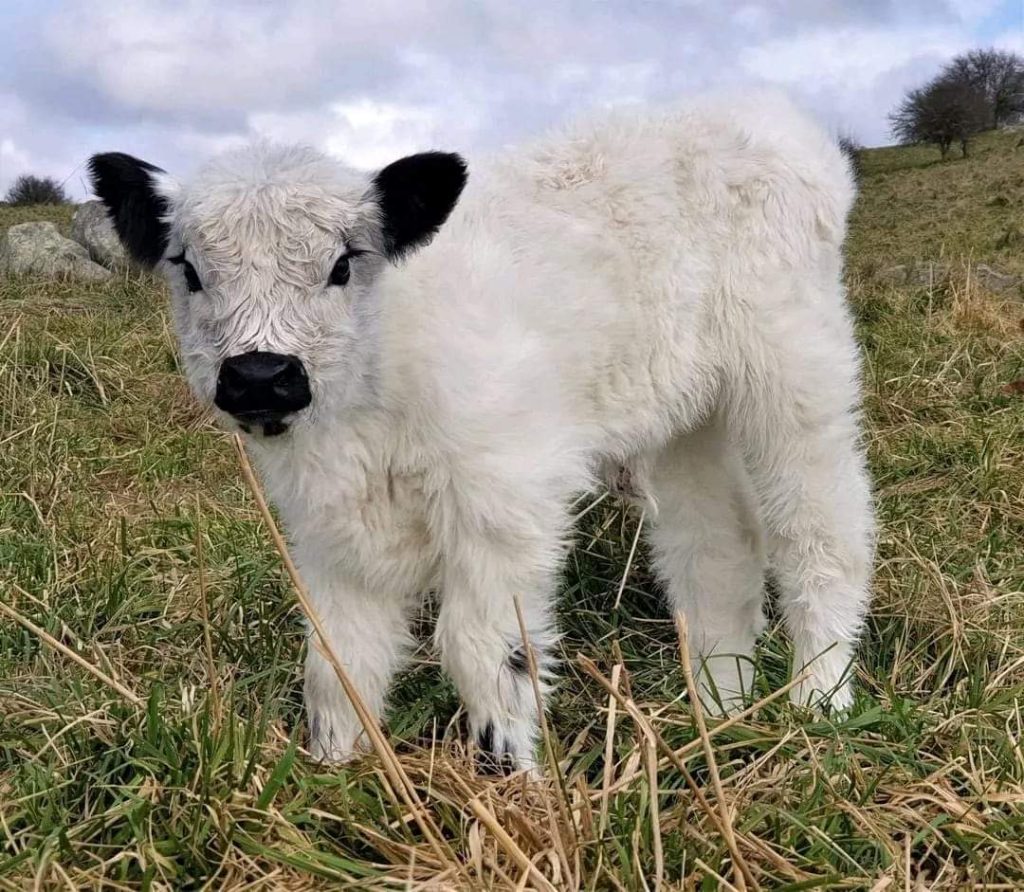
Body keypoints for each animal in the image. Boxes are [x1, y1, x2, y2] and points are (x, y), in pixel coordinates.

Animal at [90, 92, 872, 774]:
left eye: (343, 265)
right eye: (188, 270)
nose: (259, 375)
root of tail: (763, 108)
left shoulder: (506, 498)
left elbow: (481, 648)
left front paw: (512, 781)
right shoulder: (330, 531)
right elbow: (338, 657)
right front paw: (333, 777)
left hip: (794, 367)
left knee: (824, 529)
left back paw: (818, 701)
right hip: (685, 413)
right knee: (718, 548)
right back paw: (719, 707)